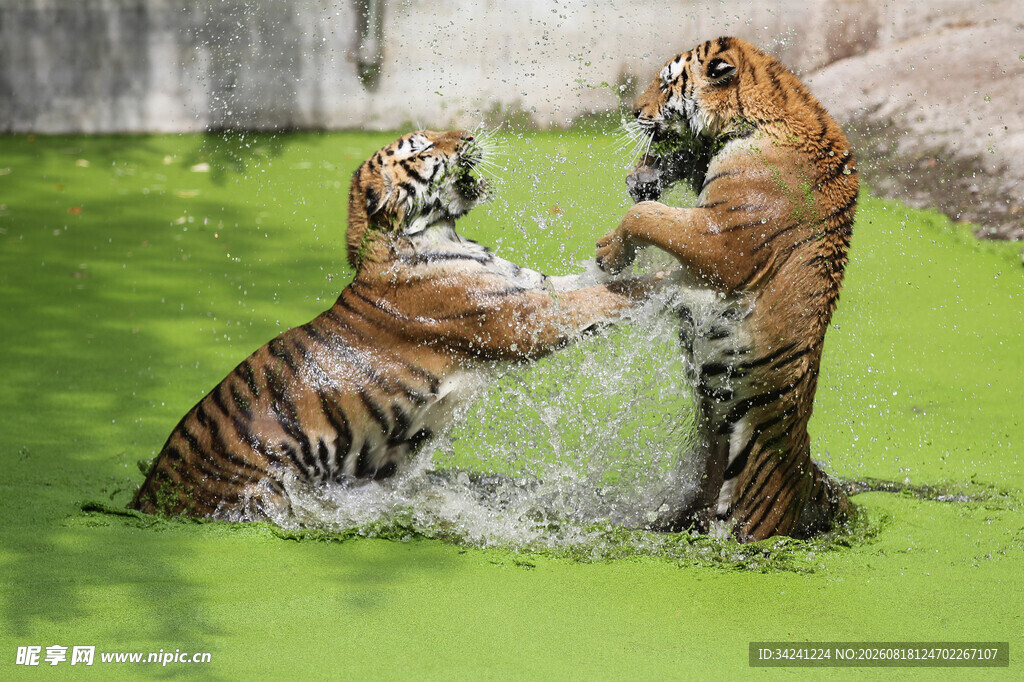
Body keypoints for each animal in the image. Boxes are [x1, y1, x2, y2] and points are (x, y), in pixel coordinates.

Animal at [130, 129, 650, 520]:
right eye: (421, 149)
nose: (469, 133)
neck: (437, 233)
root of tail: (147, 498)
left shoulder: (532, 287)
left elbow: (590, 283)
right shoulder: (522, 318)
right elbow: (599, 298)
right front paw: (666, 284)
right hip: (262, 493)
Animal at [596, 37, 858, 542]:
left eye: (665, 85)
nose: (633, 111)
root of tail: (804, 472)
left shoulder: (721, 241)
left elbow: (648, 214)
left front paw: (609, 253)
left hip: (750, 511)